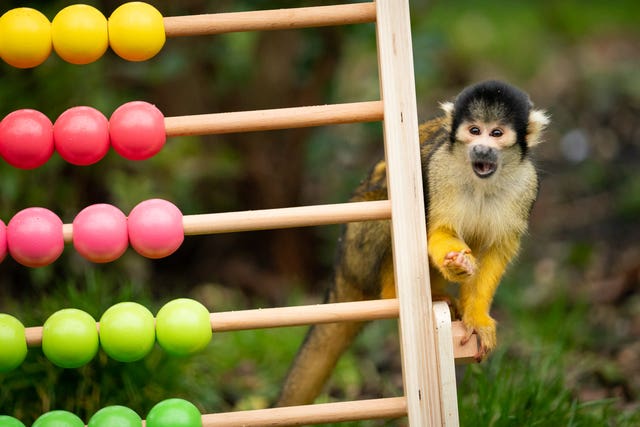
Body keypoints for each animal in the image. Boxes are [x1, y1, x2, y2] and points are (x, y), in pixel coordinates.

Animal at [278, 80, 548, 408]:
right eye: (474, 130)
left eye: (496, 133)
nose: (481, 148)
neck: (481, 182)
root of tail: (341, 268)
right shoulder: (440, 170)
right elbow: (437, 231)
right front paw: (456, 262)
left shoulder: (526, 185)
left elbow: (497, 251)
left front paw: (477, 318)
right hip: (358, 246)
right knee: (387, 208)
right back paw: (397, 292)